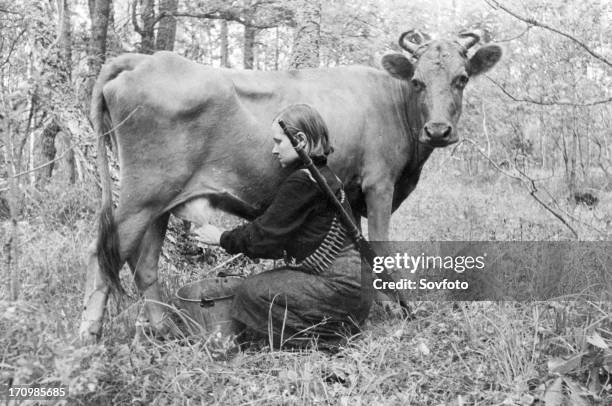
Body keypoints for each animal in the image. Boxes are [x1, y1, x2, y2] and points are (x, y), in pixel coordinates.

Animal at [77, 28, 502, 340]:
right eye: (417, 81)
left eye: (462, 79)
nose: (438, 130)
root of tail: (147, 59)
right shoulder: (380, 184)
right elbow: (381, 247)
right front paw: (392, 308)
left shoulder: (353, 195)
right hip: (141, 196)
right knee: (103, 255)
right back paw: (87, 341)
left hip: (159, 201)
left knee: (144, 263)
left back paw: (165, 330)